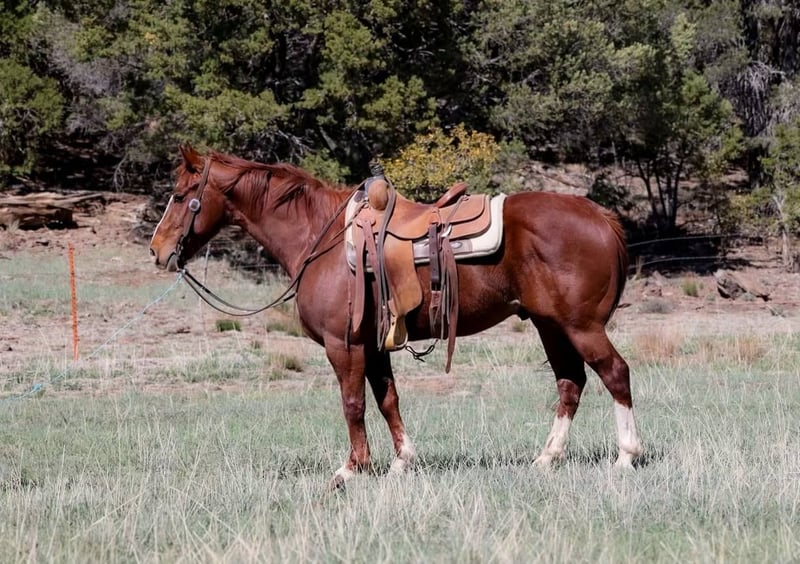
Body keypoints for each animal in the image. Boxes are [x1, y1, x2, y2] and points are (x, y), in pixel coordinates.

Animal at [149, 145, 643, 488]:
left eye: (179, 195)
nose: (157, 250)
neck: (321, 238)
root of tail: (601, 216)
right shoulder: (374, 346)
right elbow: (388, 400)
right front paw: (401, 462)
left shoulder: (344, 345)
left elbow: (353, 404)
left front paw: (351, 469)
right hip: (550, 326)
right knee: (571, 383)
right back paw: (546, 459)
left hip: (581, 326)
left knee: (615, 373)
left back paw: (626, 456)